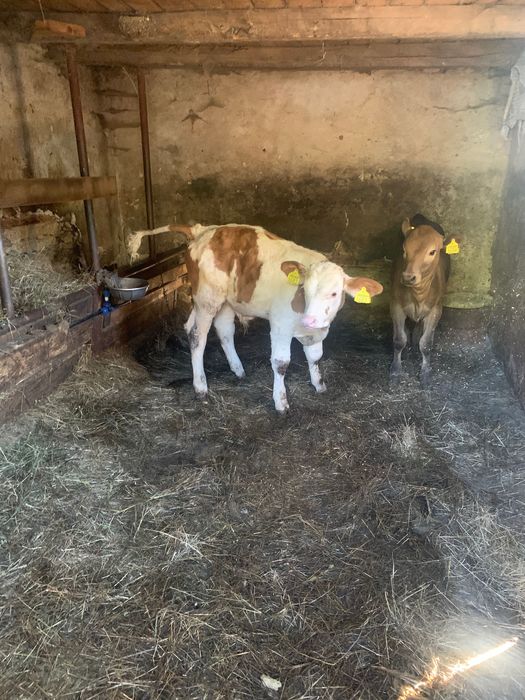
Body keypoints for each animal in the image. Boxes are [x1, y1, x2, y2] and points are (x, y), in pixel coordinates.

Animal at [129, 223, 383, 413]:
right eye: (304, 289)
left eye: (334, 293)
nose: (310, 320)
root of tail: (204, 229)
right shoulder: (280, 325)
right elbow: (281, 363)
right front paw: (281, 402)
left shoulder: (318, 330)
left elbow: (315, 357)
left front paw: (319, 386)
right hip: (207, 299)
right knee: (197, 336)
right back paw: (200, 387)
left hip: (225, 301)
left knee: (222, 331)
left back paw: (238, 369)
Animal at [390, 213, 456, 388]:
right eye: (404, 249)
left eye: (432, 252)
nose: (408, 277)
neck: (418, 295)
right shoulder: (395, 305)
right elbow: (399, 340)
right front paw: (395, 370)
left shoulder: (436, 309)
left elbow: (426, 344)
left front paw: (425, 373)